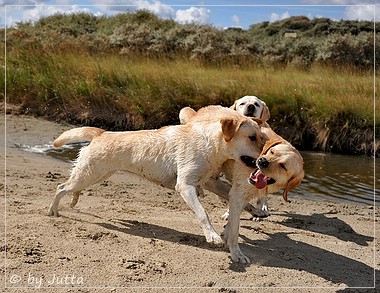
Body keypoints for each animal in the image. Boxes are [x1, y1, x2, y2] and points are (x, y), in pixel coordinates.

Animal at [48, 107, 264, 246]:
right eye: (252, 138)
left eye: (262, 138)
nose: (264, 158)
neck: (211, 144)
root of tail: (101, 133)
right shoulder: (185, 186)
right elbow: (203, 213)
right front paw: (213, 237)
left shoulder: (210, 182)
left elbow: (238, 200)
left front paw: (257, 211)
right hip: (90, 174)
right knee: (61, 187)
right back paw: (53, 211)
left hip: (96, 174)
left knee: (71, 187)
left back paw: (72, 201)